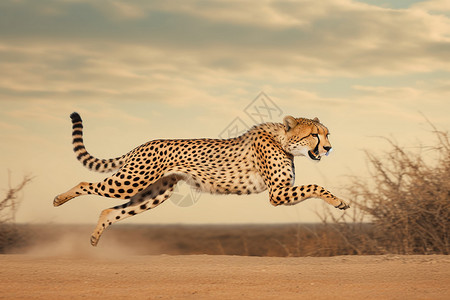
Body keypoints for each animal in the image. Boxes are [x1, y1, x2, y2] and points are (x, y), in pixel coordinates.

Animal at [54, 112, 350, 246]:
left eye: (327, 134)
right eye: (314, 135)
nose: (328, 148)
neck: (282, 140)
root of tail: (143, 144)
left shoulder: (282, 191)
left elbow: (312, 186)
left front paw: (340, 201)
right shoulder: (277, 193)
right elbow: (315, 185)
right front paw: (339, 202)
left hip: (154, 194)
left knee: (110, 210)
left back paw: (94, 238)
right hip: (131, 180)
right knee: (85, 184)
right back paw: (58, 199)